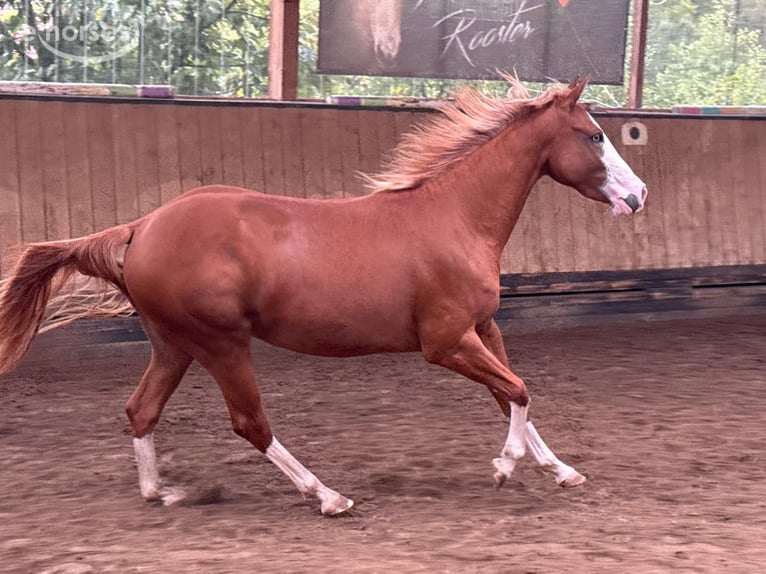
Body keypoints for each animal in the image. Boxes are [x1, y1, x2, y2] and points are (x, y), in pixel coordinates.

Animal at [0, 77, 647, 515]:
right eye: (593, 136)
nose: (639, 195)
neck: (456, 219)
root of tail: (140, 227)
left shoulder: (483, 329)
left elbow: (511, 396)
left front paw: (561, 471)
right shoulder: (444, 343)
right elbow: (518, 390)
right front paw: (504, 469)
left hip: (173, 345)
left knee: (142, 410)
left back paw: (160, 491)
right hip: (221, 344)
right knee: (250, 423)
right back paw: (328, 496)